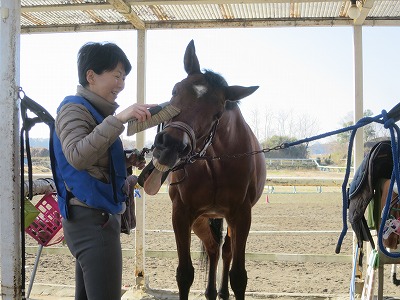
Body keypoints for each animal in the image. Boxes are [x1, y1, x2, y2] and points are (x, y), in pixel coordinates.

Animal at [141, 40, 266, 300]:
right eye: (175, 90)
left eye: (217, 112)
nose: (170, 145)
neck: (216, 164)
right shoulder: (181, 213)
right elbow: (184, 274)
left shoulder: (242, 215)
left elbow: (239, 276)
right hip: (201, 219)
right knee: (213, 248)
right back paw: (211, 291)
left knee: (225, 250)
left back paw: (221, 291)